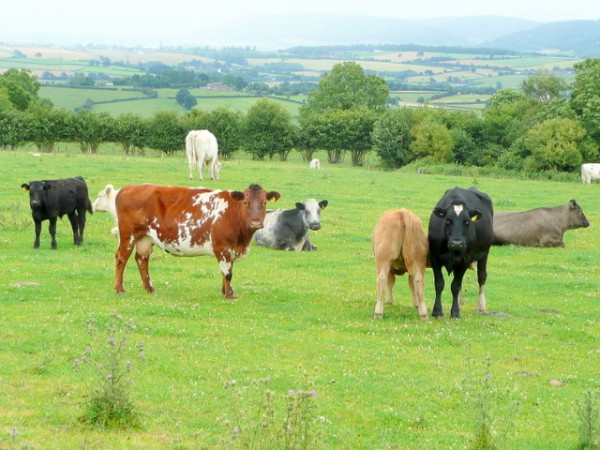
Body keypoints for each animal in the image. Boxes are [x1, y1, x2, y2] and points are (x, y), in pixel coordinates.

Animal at [115, 183, 282, 298]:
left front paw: (224, 291)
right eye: (245, 202)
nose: (255, 222)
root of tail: (129, 187)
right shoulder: (222, 247)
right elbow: (227, 273)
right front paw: (229, 294)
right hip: (128, 235)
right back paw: (119, 289)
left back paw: (149, 288)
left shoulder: (231, 249)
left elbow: (227, 272)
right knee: (121, 258)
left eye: (264, 203)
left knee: (142, 259)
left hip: (145, 237)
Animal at [428, 188, 494, 318]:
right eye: (448, 221)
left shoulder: (464, 260)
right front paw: (437, 311)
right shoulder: (434, 258)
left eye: (467, 222)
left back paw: (481, 306)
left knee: (482, 276)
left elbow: (455, 286)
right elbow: (439, 284)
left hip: (484, 254)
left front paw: (455, 312)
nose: (457, 243)